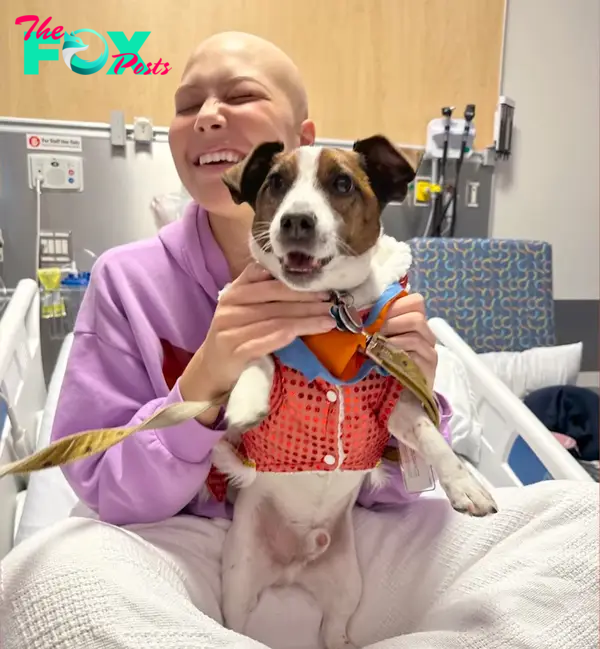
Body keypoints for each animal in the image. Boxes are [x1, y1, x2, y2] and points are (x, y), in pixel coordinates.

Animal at [211, 137, 496, 648]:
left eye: (342, 184)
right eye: (275, 183)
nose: (296, 221)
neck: (331, 314)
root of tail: (296, 563)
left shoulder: (394, 409)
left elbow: (433, 437)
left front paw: (465, 485)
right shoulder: (256, 329)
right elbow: (259, 354)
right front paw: (248, 399)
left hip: (346, 585)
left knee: (335, 630)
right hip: (239, 582)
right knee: (239, 627)